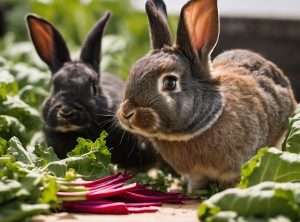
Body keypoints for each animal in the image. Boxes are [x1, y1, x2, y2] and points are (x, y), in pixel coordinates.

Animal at [116, 0, 296, 192]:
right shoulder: (197, 173)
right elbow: (197, 182)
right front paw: (193, 193)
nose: (127, 113)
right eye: (134, 70)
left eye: (170, 82)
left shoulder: (235, 169)